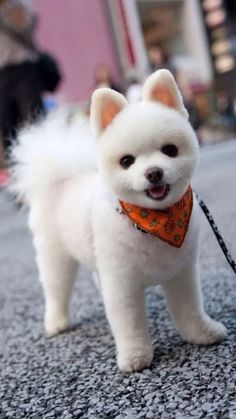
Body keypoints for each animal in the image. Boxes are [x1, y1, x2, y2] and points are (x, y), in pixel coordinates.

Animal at [12, 70, 226, 372]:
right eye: (126, 161)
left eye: (170, 150)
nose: (153, 172)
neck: (154, 223)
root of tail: (61, 178)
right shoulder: (123, 284)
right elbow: (130, 325)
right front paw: (135, 357)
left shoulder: (181, 273)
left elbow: (190, 309)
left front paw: (202, 334)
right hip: (55, 255)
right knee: (55, 288)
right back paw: (56, 322)